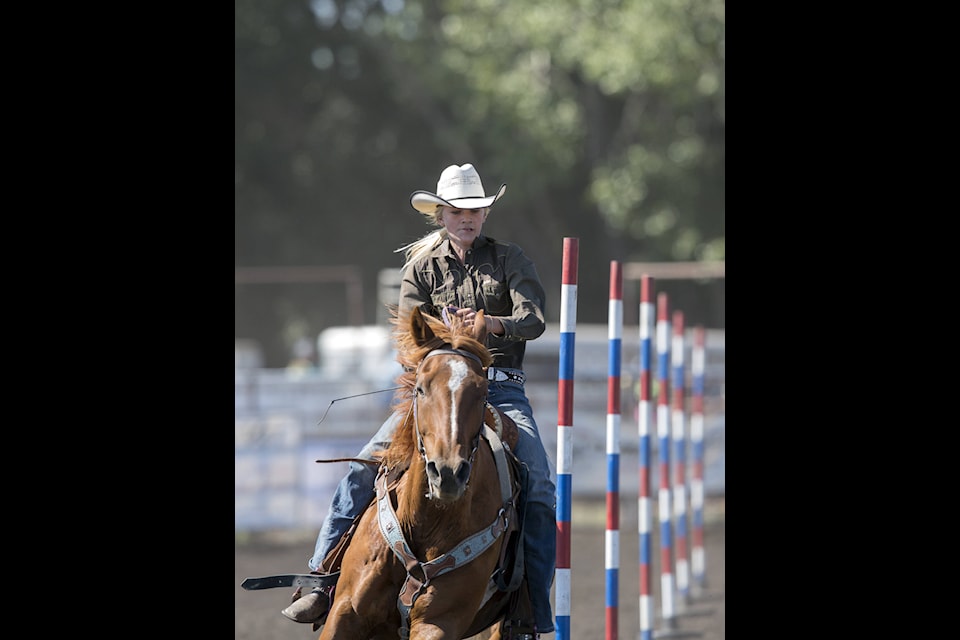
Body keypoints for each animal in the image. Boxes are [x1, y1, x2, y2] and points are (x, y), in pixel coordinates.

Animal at [320, 308, 532, 636]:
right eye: (420, 388)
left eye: (482, 391)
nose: (448, 473)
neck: (424, 521)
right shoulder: (345, 611)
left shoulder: (438, 622)